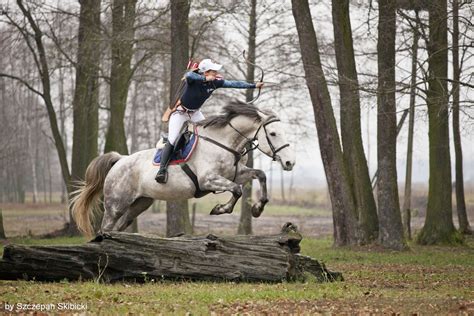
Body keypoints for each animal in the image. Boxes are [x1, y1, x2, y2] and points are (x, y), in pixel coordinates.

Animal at [71, 103, 294, 237]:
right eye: (273, 134)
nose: (290, 163)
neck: (224, 143)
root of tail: (120, 160)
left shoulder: (236, 173)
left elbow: (260, 175)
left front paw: (258, 208)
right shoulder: (208, 180)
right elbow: (237, 190)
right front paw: (220, 209)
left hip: (139, 204)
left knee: (119, 226)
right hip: (116, 204)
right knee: (105, 228)